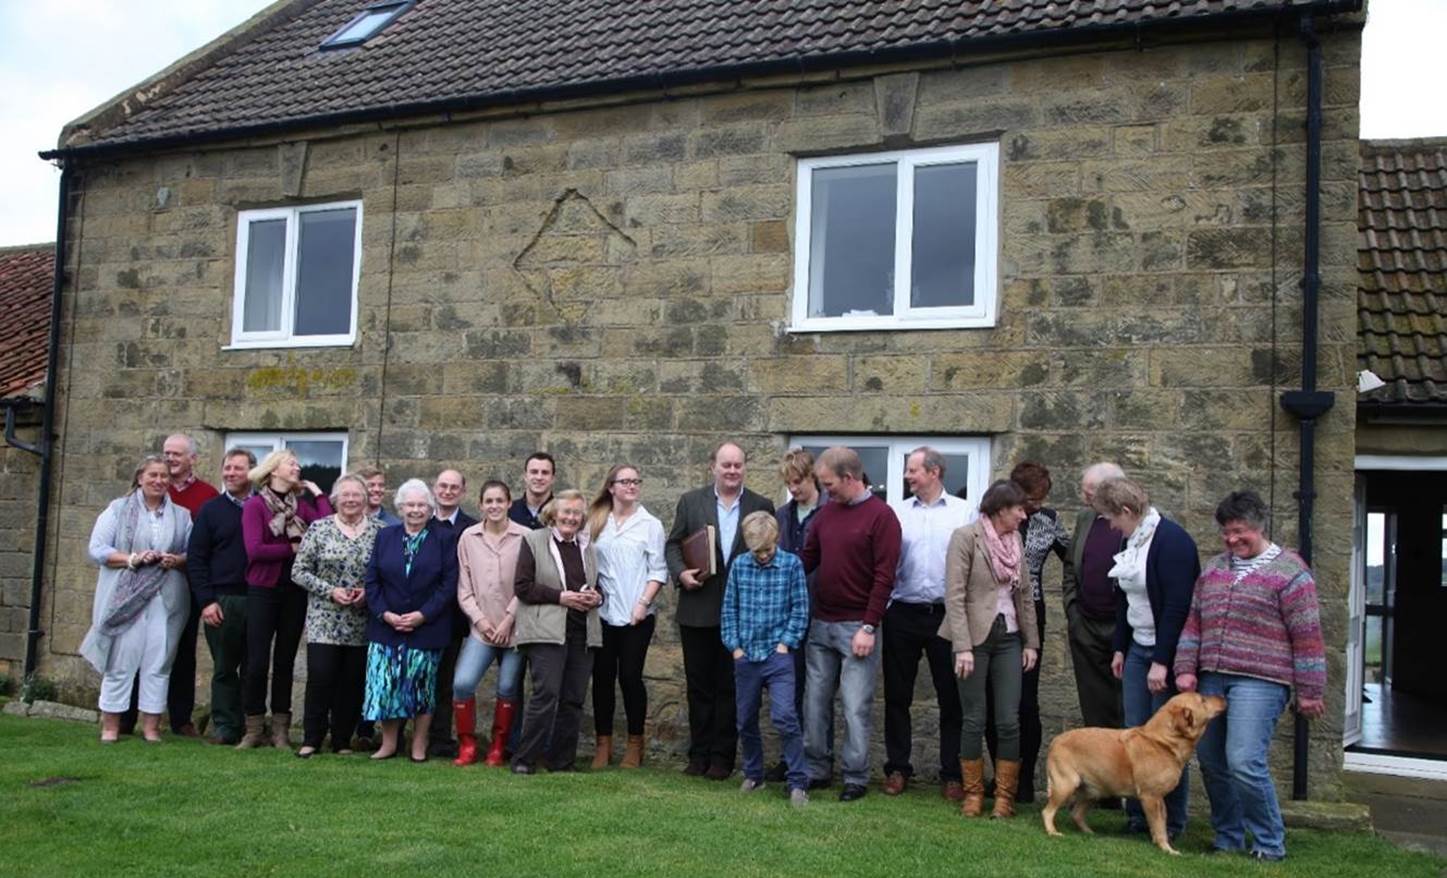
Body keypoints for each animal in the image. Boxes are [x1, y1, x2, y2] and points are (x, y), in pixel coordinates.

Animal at [1036, 691, 1227, 856]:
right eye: (1203, 699)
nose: (1223, 697)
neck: (1162, 741)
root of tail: (1055, 740)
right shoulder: (1151, 796)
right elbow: (1158, 826)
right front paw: (1167, 849)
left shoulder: (1159, 799)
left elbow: (1161, 823)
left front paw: (1159, 842)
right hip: (1066, 784)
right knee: (1047, 812)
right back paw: (1053, 832)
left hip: (1094, 790)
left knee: (1076, 813)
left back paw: (1090, 833)